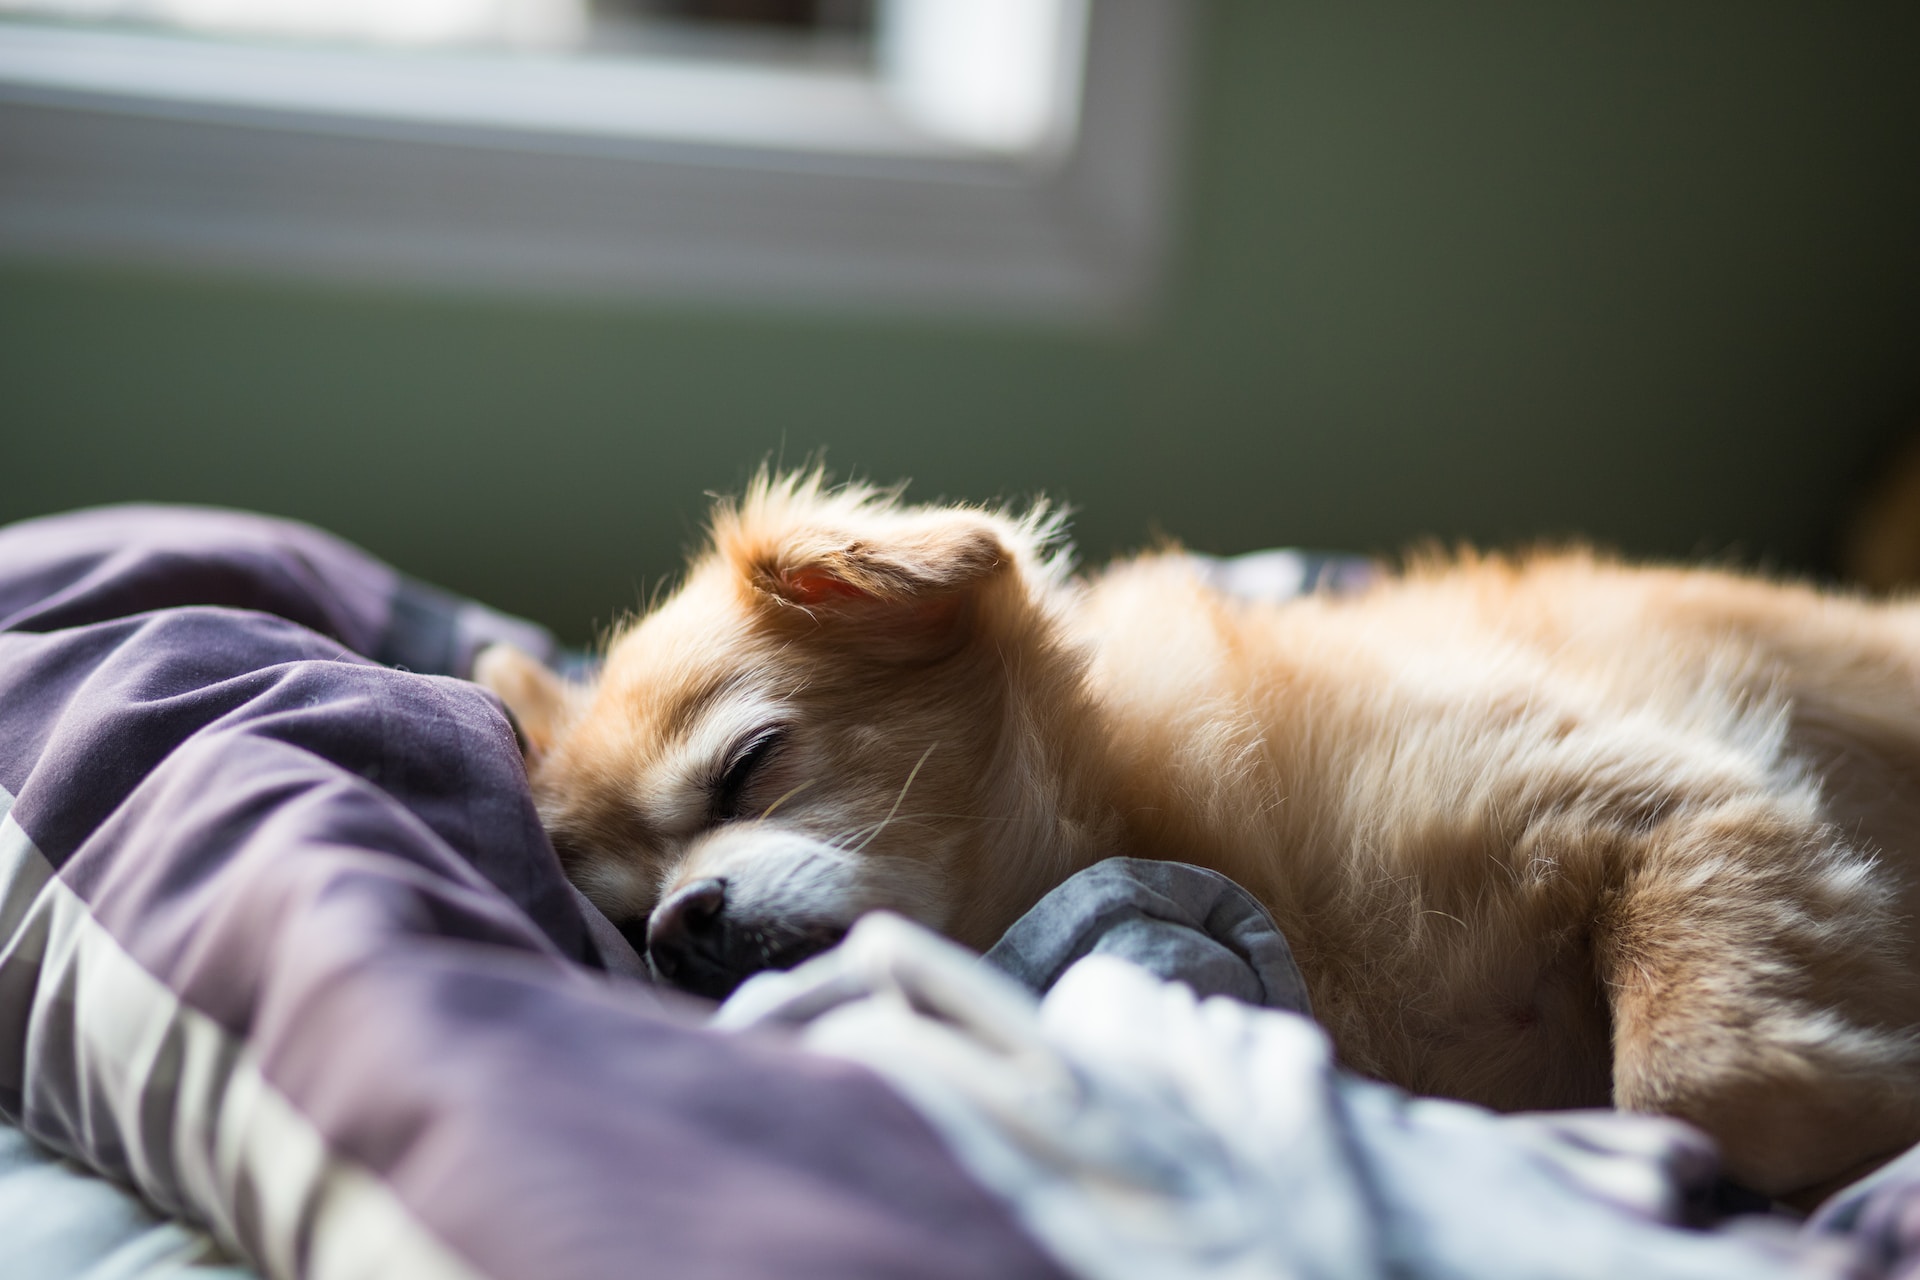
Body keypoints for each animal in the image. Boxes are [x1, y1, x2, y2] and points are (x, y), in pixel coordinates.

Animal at [483, 470, 1920, 1205]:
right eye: (623, 916)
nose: (676, 931)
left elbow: (1696, 1076)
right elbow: (1695, 1087)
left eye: (750, 766)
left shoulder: (1677, 804)